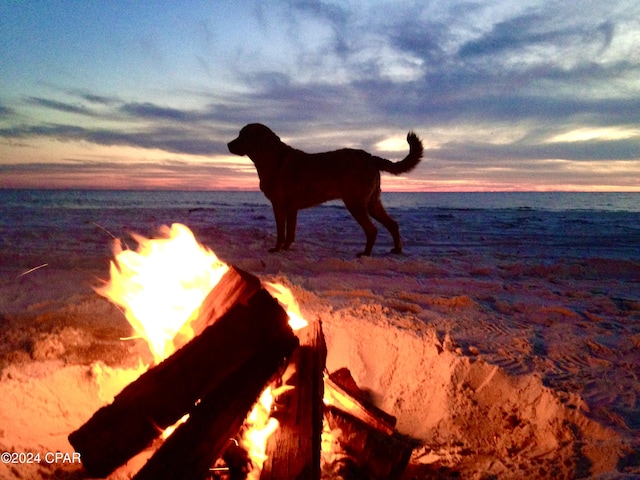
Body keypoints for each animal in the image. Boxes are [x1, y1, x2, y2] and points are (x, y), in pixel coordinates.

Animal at [228, 125, 422, 256]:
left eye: (243, 135)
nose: (228, 144)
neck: (271, 157)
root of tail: (370, 157)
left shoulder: (279, 205)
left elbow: (281, 232)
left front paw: (276, 249)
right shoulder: (291, 208)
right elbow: (290, 232)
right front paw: (286, 248)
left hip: (355, 203)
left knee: (372, 229)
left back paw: (365, 253)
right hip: (372, 203)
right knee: (392, 224)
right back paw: (397, 249)